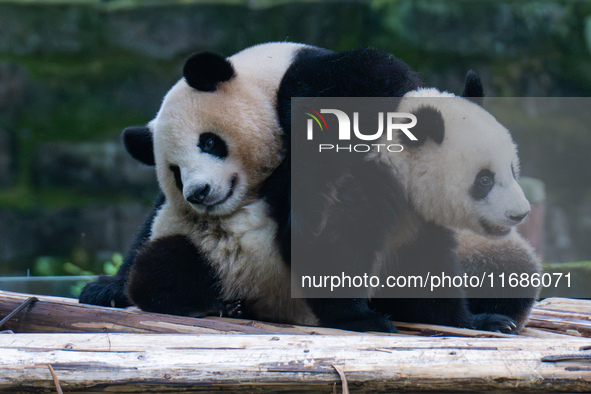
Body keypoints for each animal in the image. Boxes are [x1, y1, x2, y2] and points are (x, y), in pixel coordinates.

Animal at [80, 42, 540, 332]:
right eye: (174, 172)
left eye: (209, 142)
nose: (198, 194)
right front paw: (106, 287)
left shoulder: (327, 84)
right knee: (172, 263)